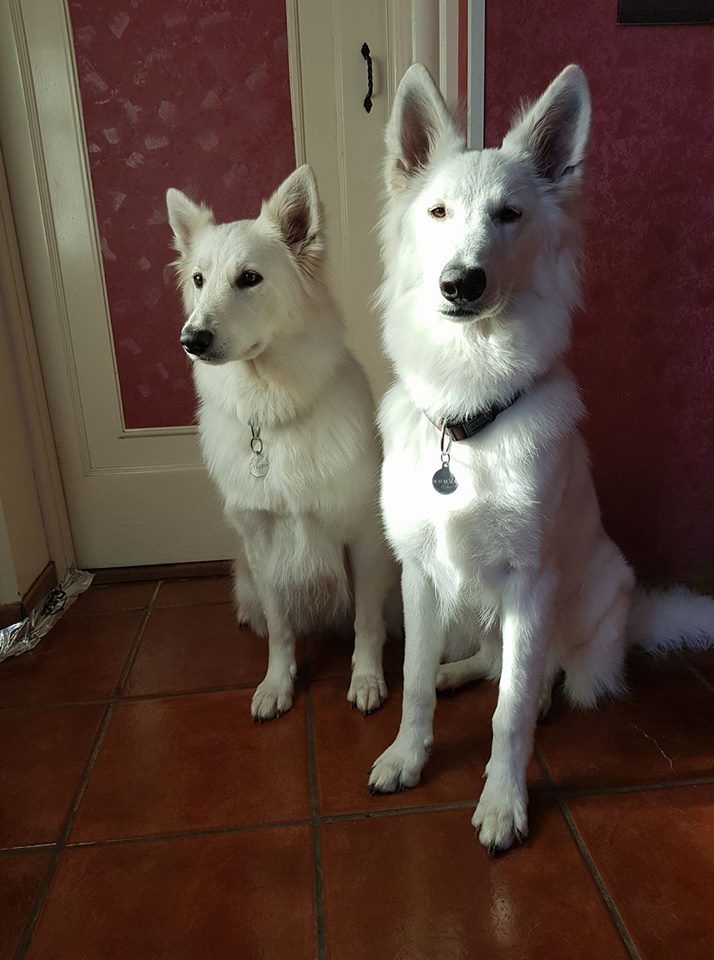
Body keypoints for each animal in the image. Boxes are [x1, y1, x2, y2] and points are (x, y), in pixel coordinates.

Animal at [166, 166, 395, 721]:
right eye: (199, 280)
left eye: (249, 278)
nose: (191, 339)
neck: (272, 414)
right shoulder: (262, 543)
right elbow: (281, 629)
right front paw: (277, 683)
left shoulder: (362, 539)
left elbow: (367, 623)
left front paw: (366, 678)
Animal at [368, 63, 714, 853]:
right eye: (437, 213)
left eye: (509, 215)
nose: (461, 282)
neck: (468, 415)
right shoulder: (418, 572)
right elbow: (411, 681)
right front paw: (408, 754)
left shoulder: (531, 584)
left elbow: (513, 709)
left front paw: (503, 802)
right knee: (483, 661)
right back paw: (458, 671)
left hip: (594, 587)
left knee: (544, 671)